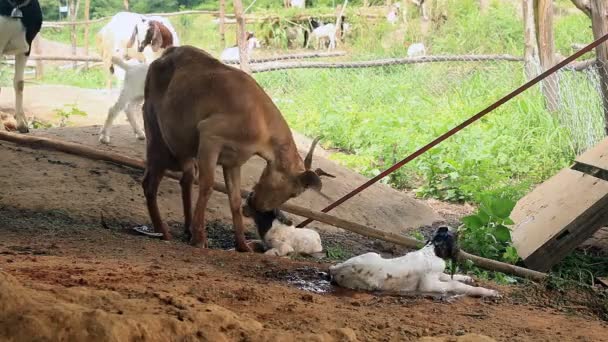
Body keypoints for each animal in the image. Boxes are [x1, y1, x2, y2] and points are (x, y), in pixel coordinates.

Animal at [141, 45, 334, 251]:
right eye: (294, 193)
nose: (258, 204)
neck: (260, 118)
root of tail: (165, 54)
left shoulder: (233, 161)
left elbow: (233, 199)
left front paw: (242, 244)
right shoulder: (209, 137)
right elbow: (207, 187)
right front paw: (200, 239)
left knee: (185, 179)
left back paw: (186, 228)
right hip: (156, 136)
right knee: (150, 183)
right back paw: (163, 231)